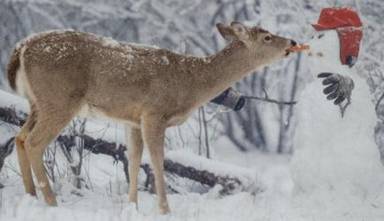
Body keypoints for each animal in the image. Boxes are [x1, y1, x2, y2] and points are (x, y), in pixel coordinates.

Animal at [6, 21, 296, 213]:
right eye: (268, 37)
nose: (293, 43)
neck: (190, 83)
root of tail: (21, 47)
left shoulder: (133, 119)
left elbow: (134, 160)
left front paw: (132, 207)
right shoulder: (154, 113)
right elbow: (157, 161)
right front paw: (165, 210)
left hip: (37, 103)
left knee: (19, 137)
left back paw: (30, 197)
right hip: (60, 99)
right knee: (34, 142)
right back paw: (52, 203)